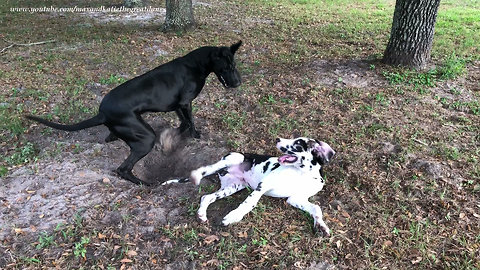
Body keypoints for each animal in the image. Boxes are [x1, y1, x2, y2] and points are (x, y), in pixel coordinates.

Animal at [27, 41, 240, 185]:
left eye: (234, 65)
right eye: (227, 67)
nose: (238, 82)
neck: (197, 64)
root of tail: (102, 113)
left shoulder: (179, 105)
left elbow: (183, 122)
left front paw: (173, 137)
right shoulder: (186, 103)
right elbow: (190, 122)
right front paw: (194, 135)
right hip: (145, 137)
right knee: (123, 169)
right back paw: (144, 184)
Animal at [171, 137, 336, 236]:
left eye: (297, 144)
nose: (277, 139)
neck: (303, 174)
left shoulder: (295, 198)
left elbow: (316, 208)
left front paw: (321, 226)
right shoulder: (263, 185)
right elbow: (249, 203)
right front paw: (233, 216)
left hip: (232, 187)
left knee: (206, 197)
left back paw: (201, 214)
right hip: (234, 158)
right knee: (207, 168)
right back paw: (196, 175)